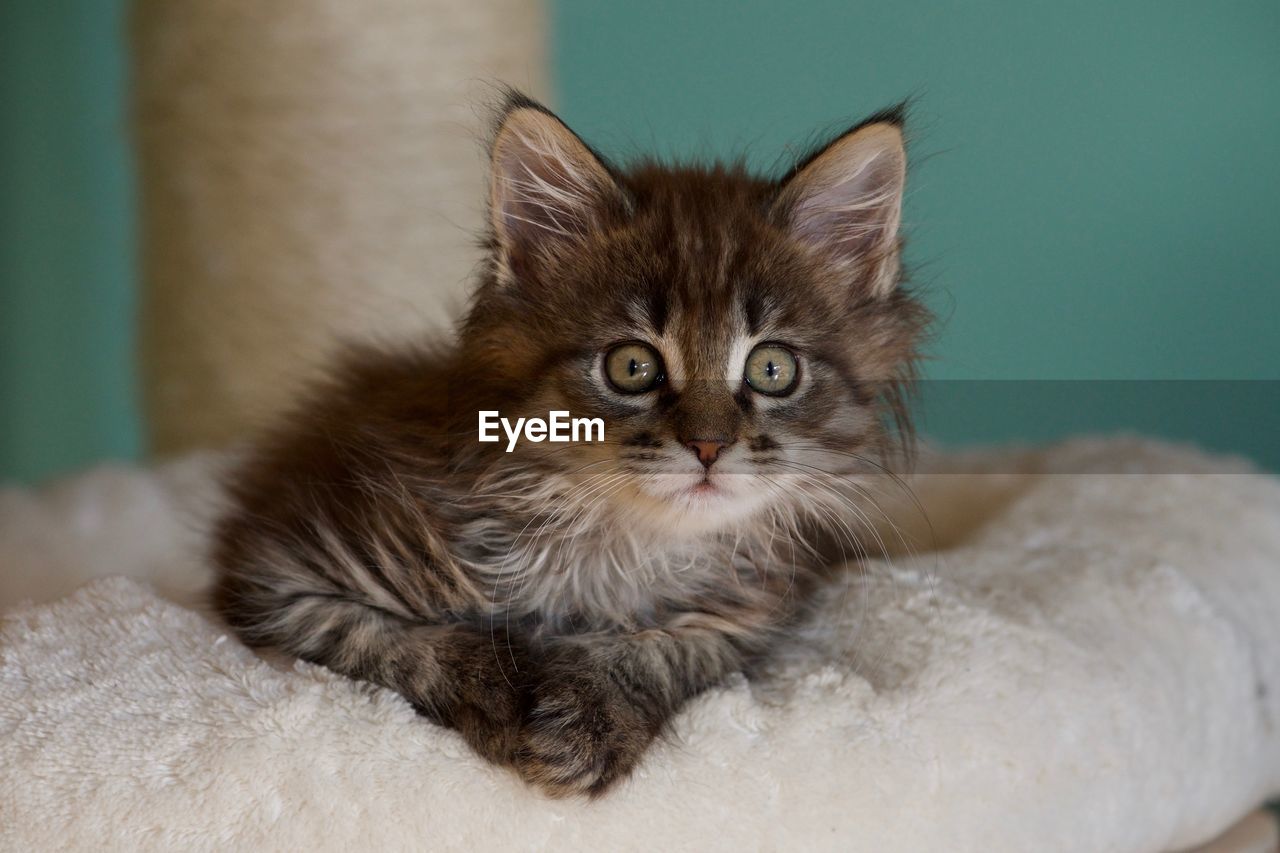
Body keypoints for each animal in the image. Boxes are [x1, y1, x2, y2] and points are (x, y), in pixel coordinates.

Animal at [212, 89, 931, 794]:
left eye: (772, 369)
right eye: (632, 366)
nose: (708, 447)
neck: (616, 546)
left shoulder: (751, 613)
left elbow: (670, 649)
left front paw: (591, 710)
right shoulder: (281, 578)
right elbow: (401, 640)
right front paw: (499, 688)